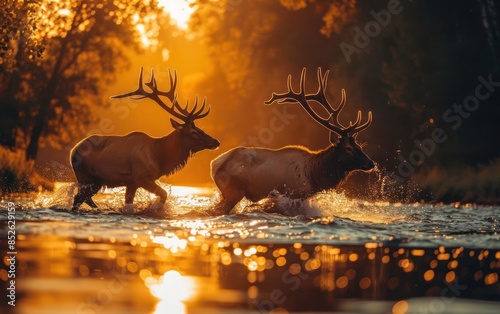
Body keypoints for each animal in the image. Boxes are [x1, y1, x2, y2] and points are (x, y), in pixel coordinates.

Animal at [70, 68, 219, 211]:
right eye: (194, 132)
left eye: (200, 129)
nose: (216, 141)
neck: (160, 158)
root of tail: (72, 152)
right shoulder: (141, 176)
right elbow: (164, 194)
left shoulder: (131, 183)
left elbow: (128, 204)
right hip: (86, 177)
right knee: (78, 198)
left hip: (97, 181)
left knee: (85, 199)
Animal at [209, 68, 374, 216]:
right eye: (348, 148)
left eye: (359, 146)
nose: (371, 163)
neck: (314, 175)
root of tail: (214, 164)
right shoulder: (294, 194)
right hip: (234, 191)